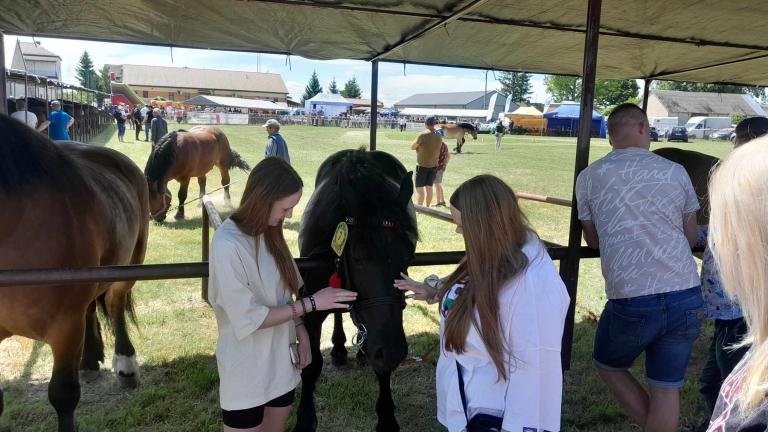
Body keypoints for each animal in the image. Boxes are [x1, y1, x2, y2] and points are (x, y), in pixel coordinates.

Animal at [0, 115, 150, 432]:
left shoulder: (65, 326)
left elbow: (63, 395)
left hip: (130, 263)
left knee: (116, 304)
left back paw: (125, 363)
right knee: (92, 307)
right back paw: (90, 359)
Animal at [294, 149, 416, 432]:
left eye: (408, 254)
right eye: (358, 256)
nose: (394, 350)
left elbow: (381, 364)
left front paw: (387, 418)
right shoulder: (311, 305)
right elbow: (311, 364)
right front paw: (304, 419)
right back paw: (340, 349)